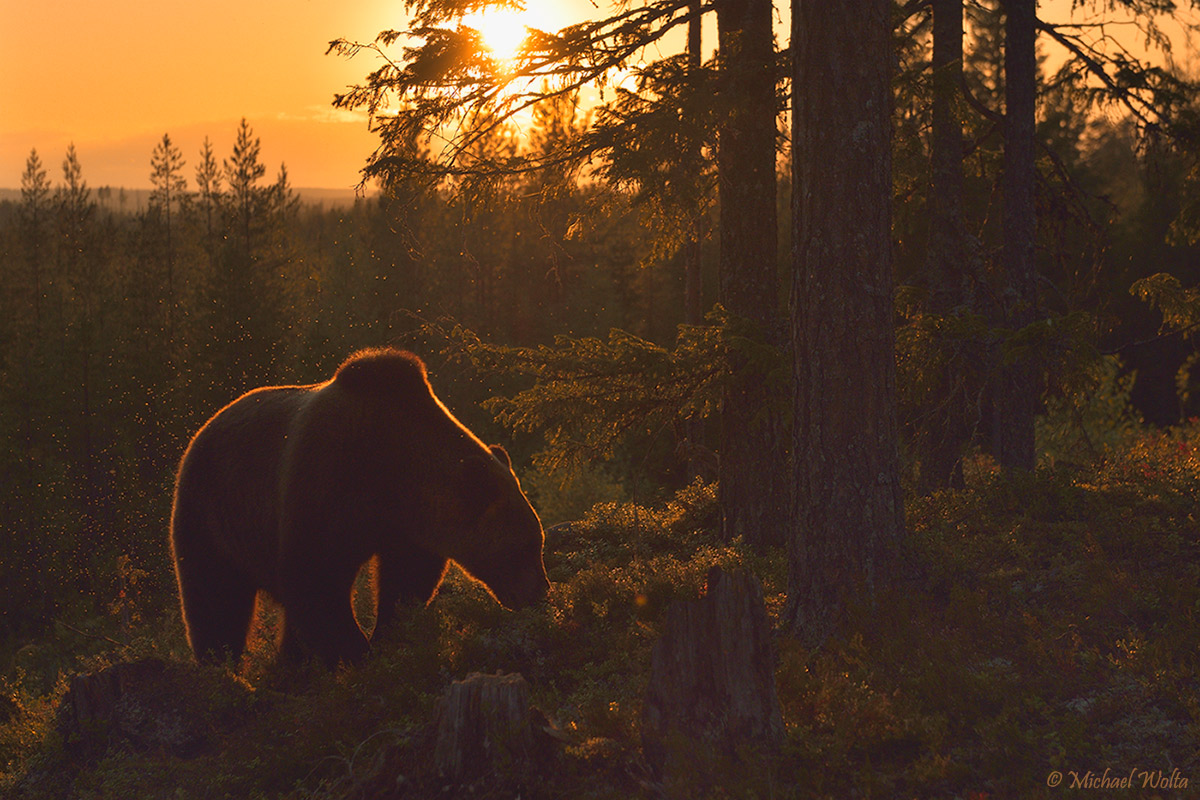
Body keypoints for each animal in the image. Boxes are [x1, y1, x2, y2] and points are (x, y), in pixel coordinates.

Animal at [168, 347, 549, 666]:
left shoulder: (407, 526)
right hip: (211, 514)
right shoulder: (325, 483)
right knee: (215, 599)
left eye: (537, 543)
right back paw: (223, 667)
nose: (540, 594)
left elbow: (406, 581)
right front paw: (358, 650)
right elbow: (316, 582)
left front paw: (387, 636)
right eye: (524, 547)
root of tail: (202, 428)